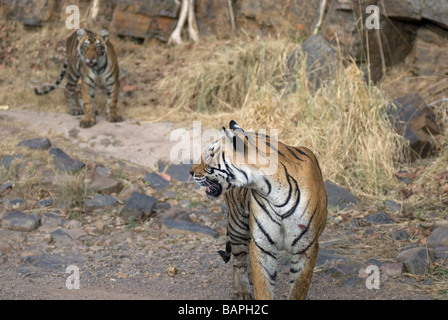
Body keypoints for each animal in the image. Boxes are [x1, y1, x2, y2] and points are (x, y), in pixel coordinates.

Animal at [191, 120, 328, 300]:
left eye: (211, 154)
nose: (190, 171)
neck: (274, 193)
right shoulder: (262, 245)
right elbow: (263, 286)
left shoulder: (306, 247)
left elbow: (298, 289)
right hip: (237, 223)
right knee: (239, 258)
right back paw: (242, 290)